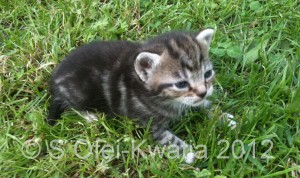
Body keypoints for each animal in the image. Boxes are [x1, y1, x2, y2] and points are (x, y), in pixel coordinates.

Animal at [48, 28, 214, 163]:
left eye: (207, 74)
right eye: (181, 84)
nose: (203, 92)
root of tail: (54, 80)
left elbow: (207, 105)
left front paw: (219, 115)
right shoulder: (147, 123)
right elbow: (166, 138)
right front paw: (187, 153)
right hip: (79, 94)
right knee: (71, 106)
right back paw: (90, 116)